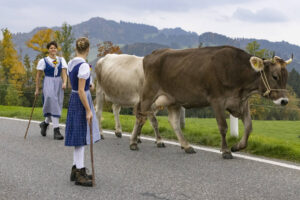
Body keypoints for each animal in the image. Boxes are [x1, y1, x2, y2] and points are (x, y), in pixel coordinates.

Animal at [129, 45, 292, 159]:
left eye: (286, 77)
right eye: (275, 76)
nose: (284, 101)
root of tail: (152, 54)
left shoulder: (241, 103)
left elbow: (249, 127)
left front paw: (237, 146)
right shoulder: (217, 100)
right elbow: (223, 127)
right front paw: (225, 151)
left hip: (172, 99)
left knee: (171, 121)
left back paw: (186, 146)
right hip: (149, 93)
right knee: (141, 115)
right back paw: (133, 143)